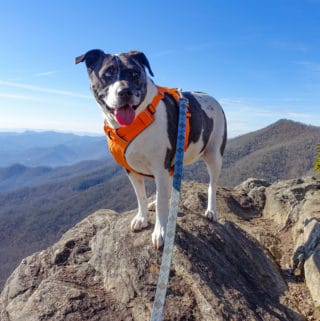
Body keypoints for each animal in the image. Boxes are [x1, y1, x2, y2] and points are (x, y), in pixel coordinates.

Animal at [75, 50, 226, 249]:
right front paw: (142, 218)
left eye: (135, 73)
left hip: (214, 155)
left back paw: (211, 210)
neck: (138, 118)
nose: (125, 91)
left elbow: (162, 202)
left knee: (212, 185)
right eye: (107, 74)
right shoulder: (131, 170)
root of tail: (212, 97)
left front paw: (160, 231)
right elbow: (141, 197)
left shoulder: (160, 169)